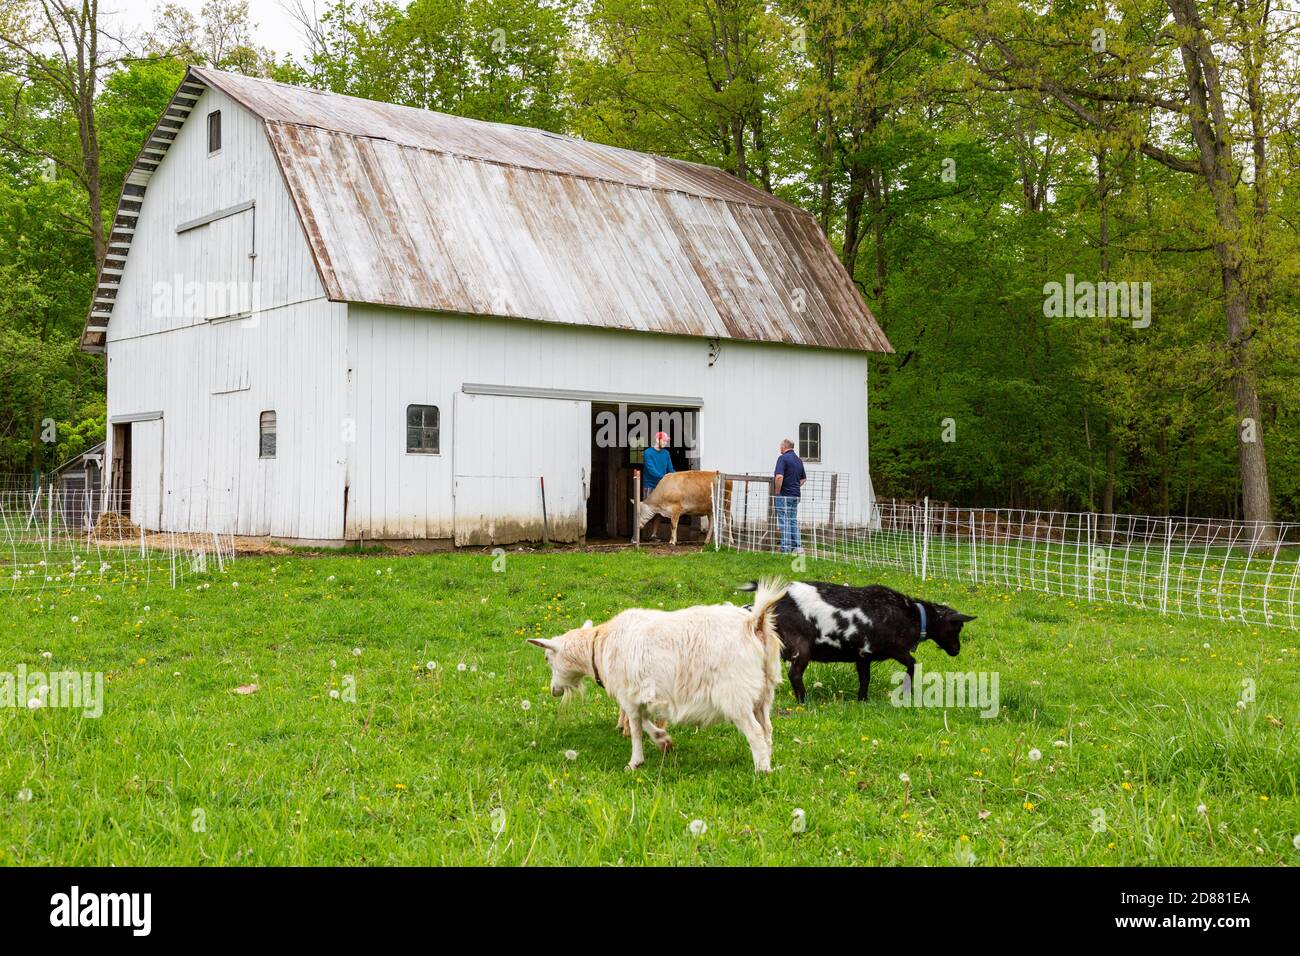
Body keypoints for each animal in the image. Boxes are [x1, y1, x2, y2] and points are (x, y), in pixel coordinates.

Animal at [526, 579, 787, 772]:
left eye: (547, 658)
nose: (554, 691)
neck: (600, 646)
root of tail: (755, 623)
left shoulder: (628, 696)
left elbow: (637, 727)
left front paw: (635, 762)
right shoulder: (642, 696)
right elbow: (644, 720)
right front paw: (663, 740)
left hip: (736, 696)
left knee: (755, 733)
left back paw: (762, 771)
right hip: (764, 693)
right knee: (767, 730)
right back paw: (770, 761)